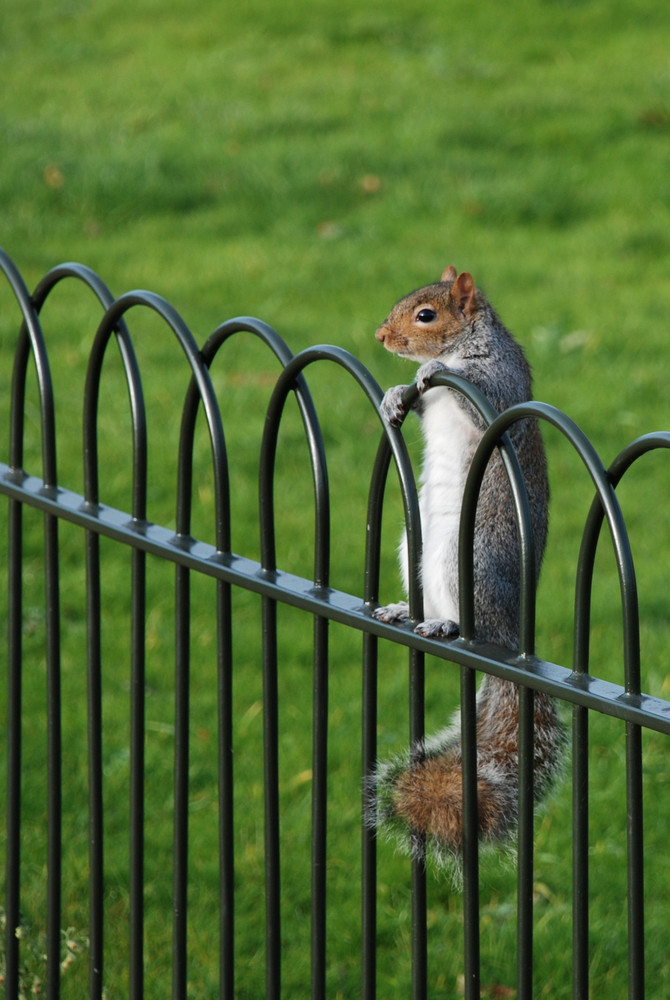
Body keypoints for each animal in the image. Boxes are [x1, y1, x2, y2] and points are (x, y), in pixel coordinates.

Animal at [368, 266, 568, 868]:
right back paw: (405, 610)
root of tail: (509, 636)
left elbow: (485, 395)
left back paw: (446, 624)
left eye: (425, 316)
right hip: (414, 548)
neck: (466, 345)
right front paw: (394, 395)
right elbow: (412, 401)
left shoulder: (500, 378)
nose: (382, 337)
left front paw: (430, 369)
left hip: (471, 561)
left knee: (468, 620)